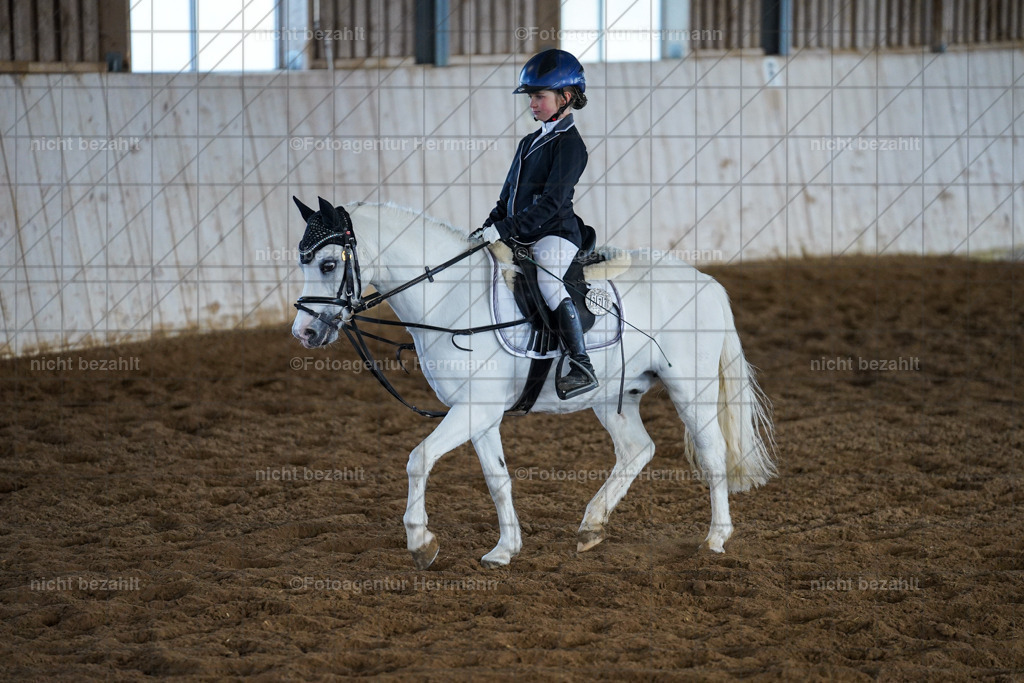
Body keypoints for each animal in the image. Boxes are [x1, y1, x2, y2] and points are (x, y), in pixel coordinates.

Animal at [290, 197, 776, 569]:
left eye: (329, 264)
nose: (305, 332)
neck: (449, 298)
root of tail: (706, 281)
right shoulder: (479, 414)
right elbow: (497, 479)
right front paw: (504, 550)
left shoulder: (476, 410)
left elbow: (418, 458)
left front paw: (421, 543)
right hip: (613, 396)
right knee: (638, 449)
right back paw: (591, 527)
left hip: (689, 389)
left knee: (712, 453)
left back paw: (715, 539)